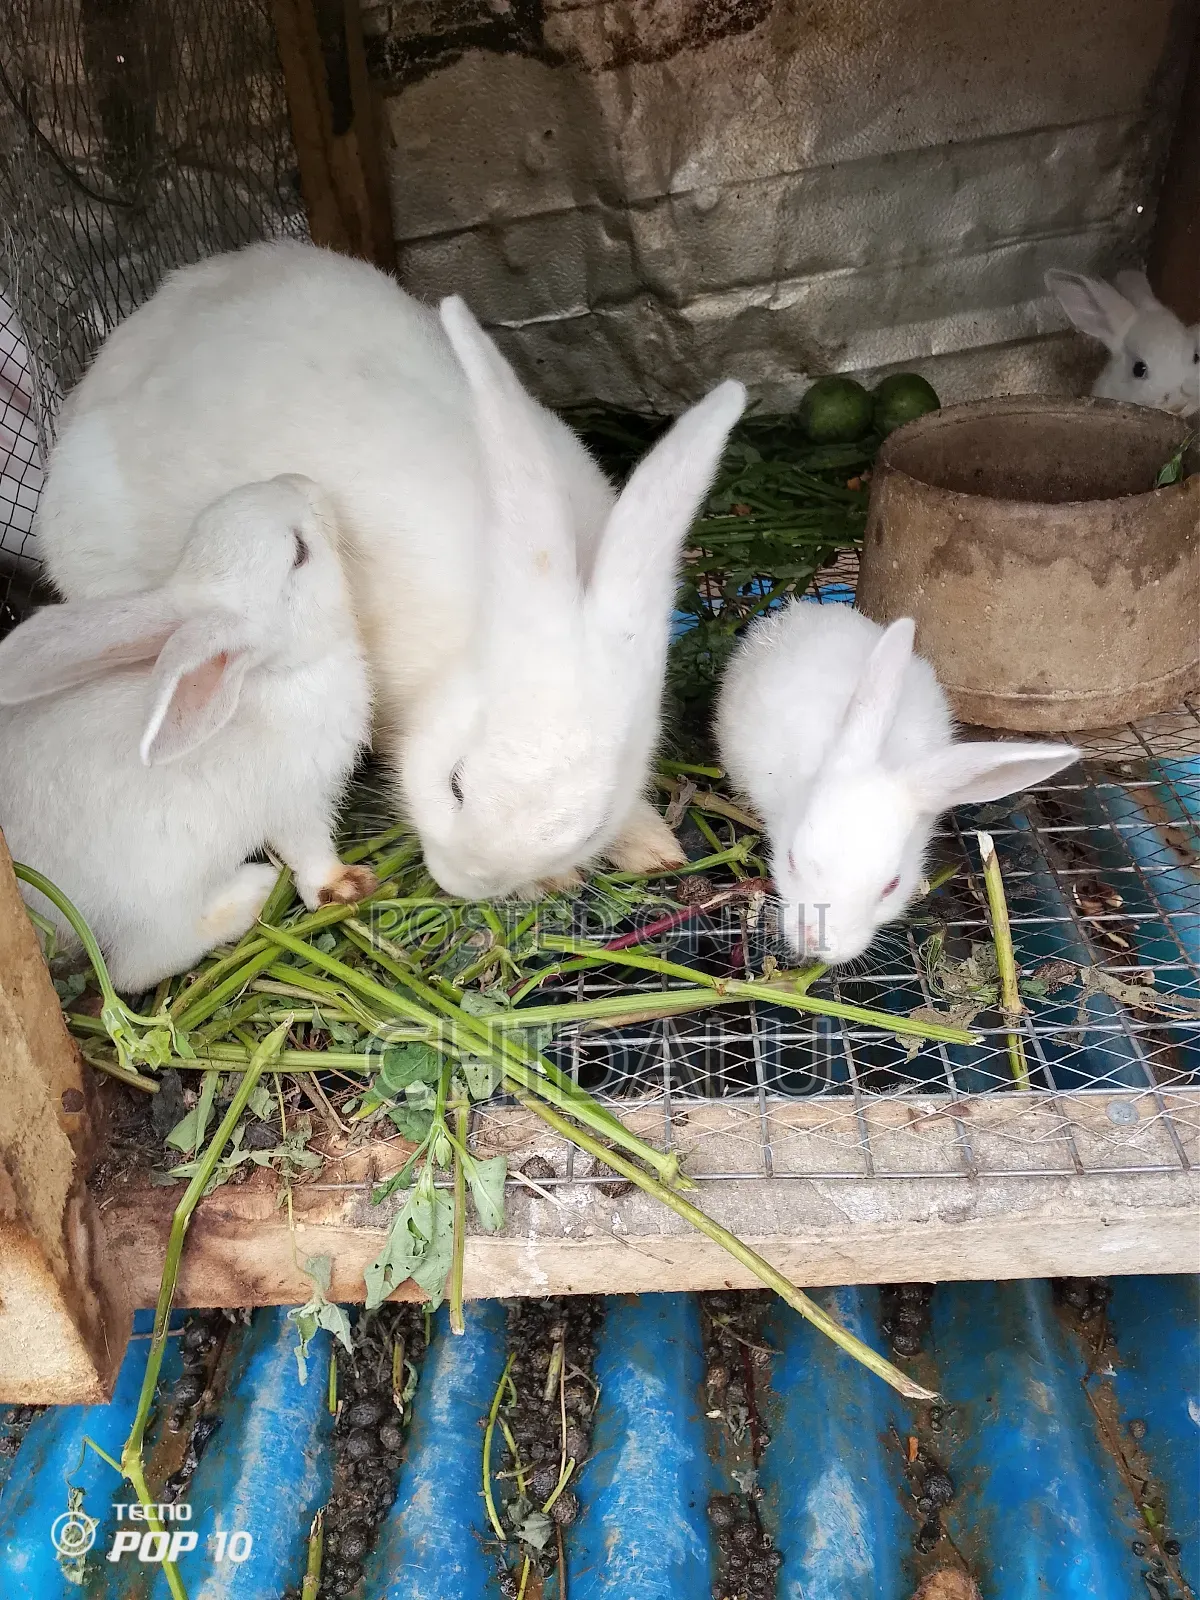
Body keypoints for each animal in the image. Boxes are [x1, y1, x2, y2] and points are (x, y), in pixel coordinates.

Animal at [0, 474, 375, 992]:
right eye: (299, 552)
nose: (301, 481)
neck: (274, 675)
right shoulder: (297, 799)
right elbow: (310, 852)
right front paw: (346, 883)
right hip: (159, 889)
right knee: (135, 970)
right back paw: (252, 894)